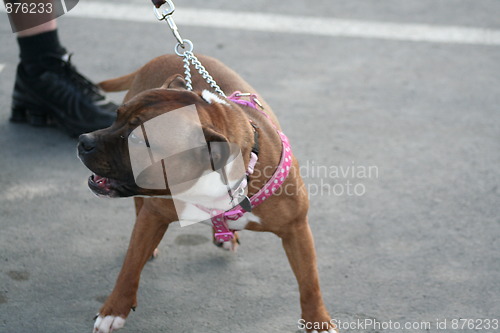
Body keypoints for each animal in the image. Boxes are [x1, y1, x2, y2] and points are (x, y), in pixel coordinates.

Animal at [78, 55, 336, 332]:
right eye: (116, 117)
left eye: (137, 140)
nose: (83, 141)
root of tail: (161, 57)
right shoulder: (154, 215)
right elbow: (130, 265)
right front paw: (114, 309)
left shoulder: (296, 229)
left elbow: (309, 282)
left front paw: (318, 321)